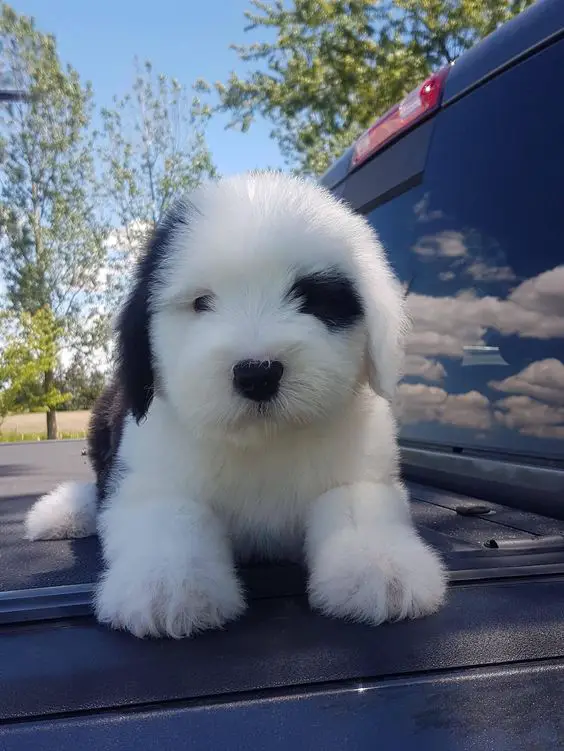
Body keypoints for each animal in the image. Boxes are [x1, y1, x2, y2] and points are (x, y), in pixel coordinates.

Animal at [24, 172, 448, 640]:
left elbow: (357, 506)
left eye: (311, 298)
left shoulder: (359, 470)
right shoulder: (152, 474)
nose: (257, 374)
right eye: (201, 303)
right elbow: (171, 515)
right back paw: (63, 512)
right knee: (97, 490)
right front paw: (168, 587)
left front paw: (379, 568)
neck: (263, 442)